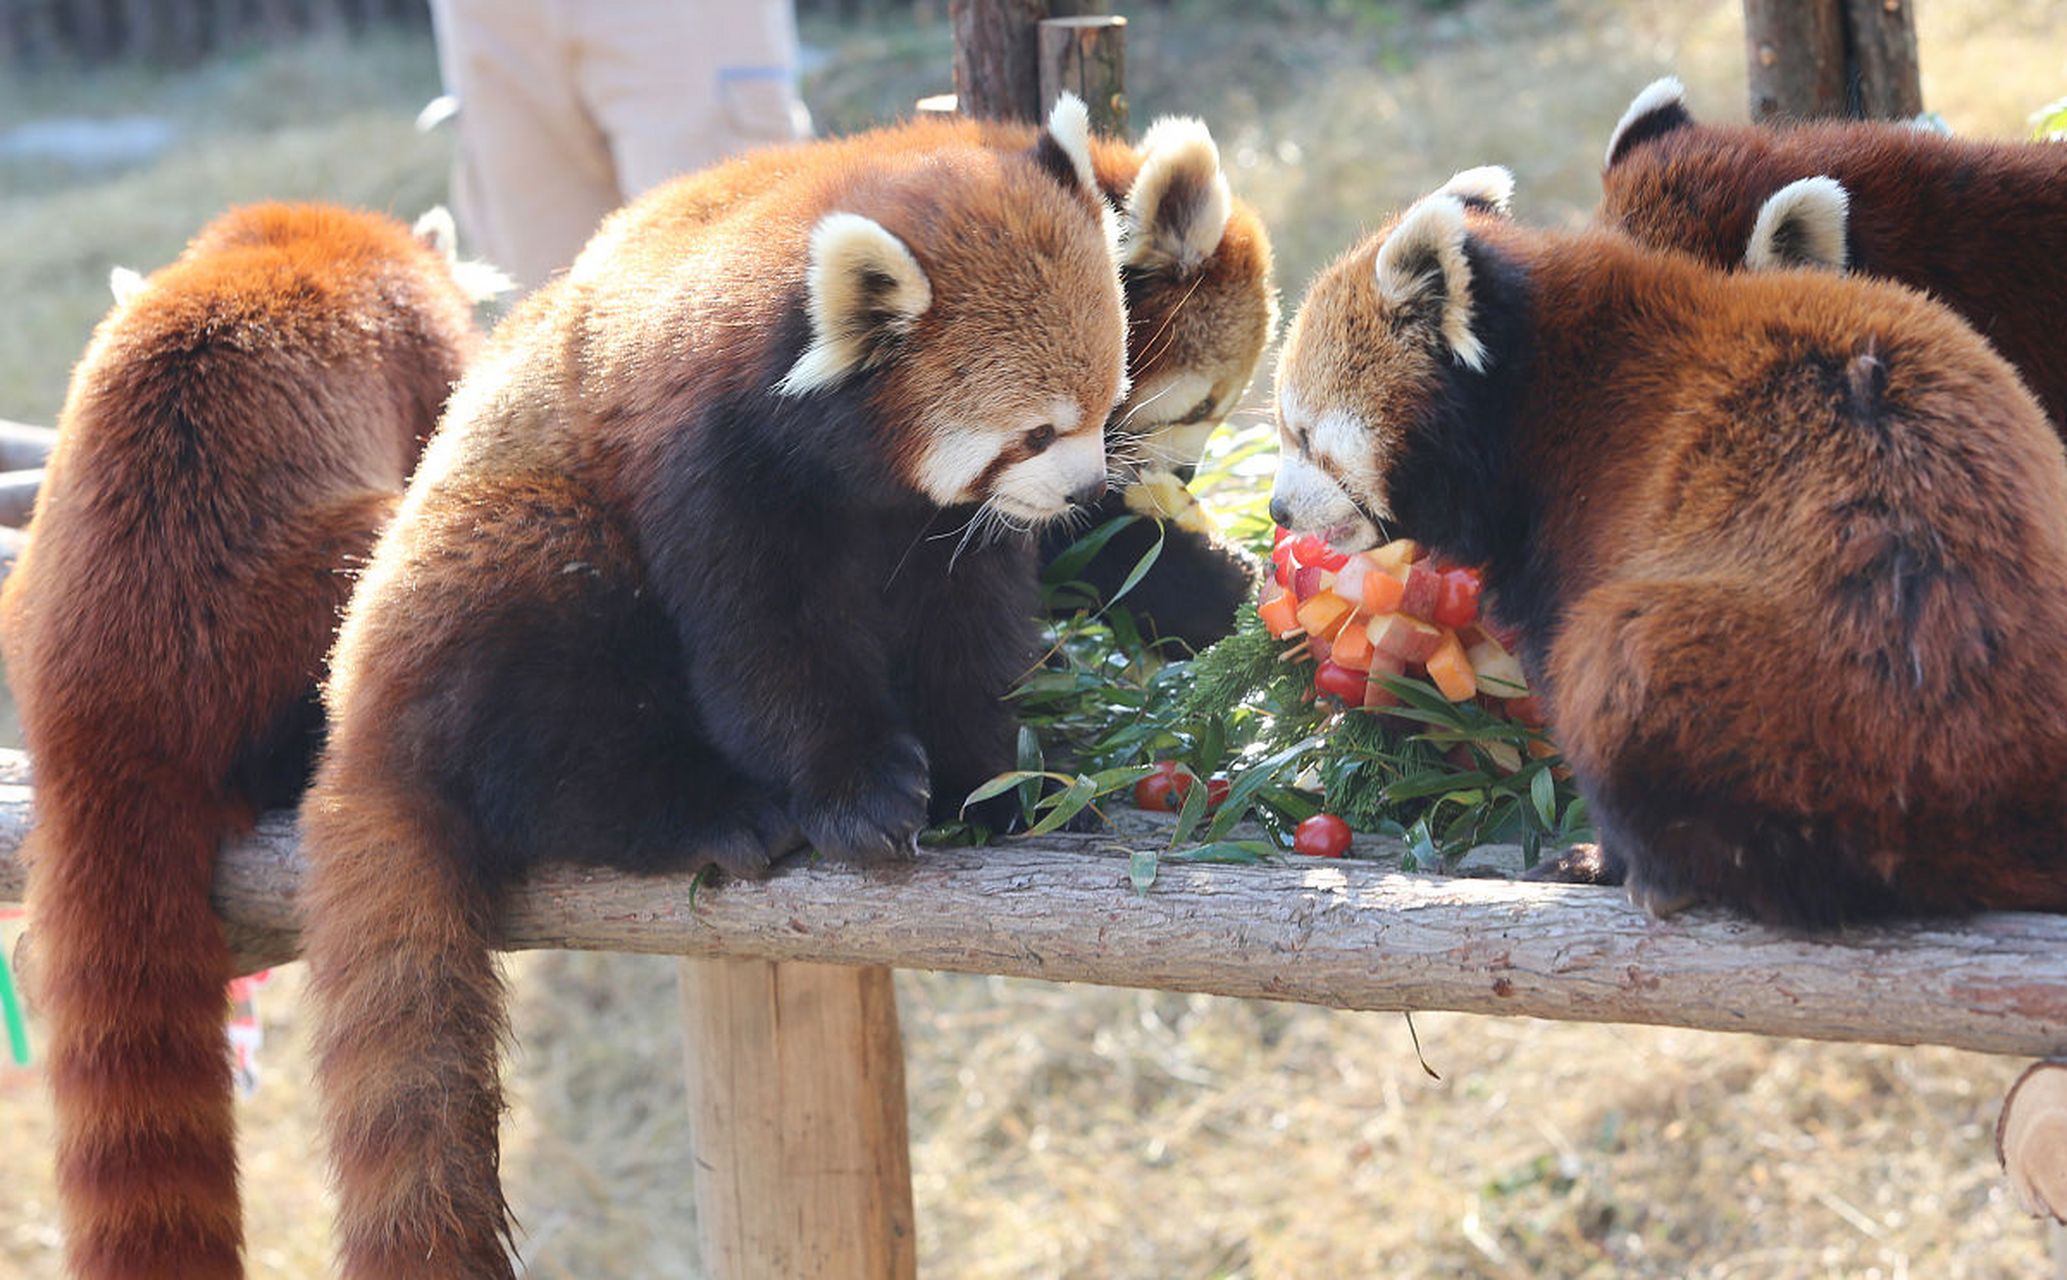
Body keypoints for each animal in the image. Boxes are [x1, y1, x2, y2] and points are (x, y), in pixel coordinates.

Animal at [299, 97, 1124, 1273]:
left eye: (1110, 399)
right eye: (1037, 431)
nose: (1089, 487)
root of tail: (356, 723)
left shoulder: (931, 528)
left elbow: (964, 634)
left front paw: (1004, 780)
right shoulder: (707, 457)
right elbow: (763, 645)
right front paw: (859, 795)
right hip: (499, 563)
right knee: (549, 712)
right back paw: (709, 809)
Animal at [1265, 172, 2067, 930]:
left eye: (1302, 434)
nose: (1276, 509)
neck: (1532, 391)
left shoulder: (1583, 512)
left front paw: (1599, 857)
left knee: (1613, 665)